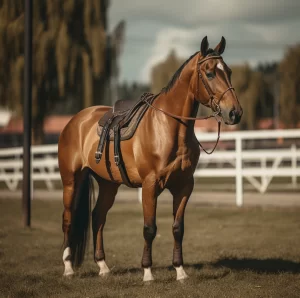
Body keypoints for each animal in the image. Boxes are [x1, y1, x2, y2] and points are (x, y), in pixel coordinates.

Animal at [59, 36, 244, 280]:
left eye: (229, 71)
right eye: (210, 73)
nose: (235, 112)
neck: (169, 127)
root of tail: (75, 121)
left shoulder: (184, 186)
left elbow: (177, 228)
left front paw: (180, 271)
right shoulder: (150, 185)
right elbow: (149, 228)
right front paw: (147, 272)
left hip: (108, 184)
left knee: (98, 217)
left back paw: (103, 266)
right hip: (71, 181)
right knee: (68, 219)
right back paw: (68, 267)